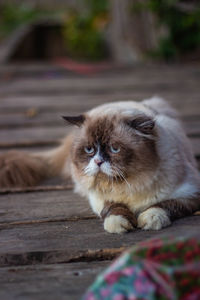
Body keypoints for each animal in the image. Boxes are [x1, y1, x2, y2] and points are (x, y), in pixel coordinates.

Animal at [0, 97, 200, 233]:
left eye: (114, 148)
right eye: (89, 149)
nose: (98, 161)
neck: (130, 185)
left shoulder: (190, 193)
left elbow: (164, 205)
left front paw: (150, 219)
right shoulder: (99, 198)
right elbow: (113, 208)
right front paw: (119, 225)